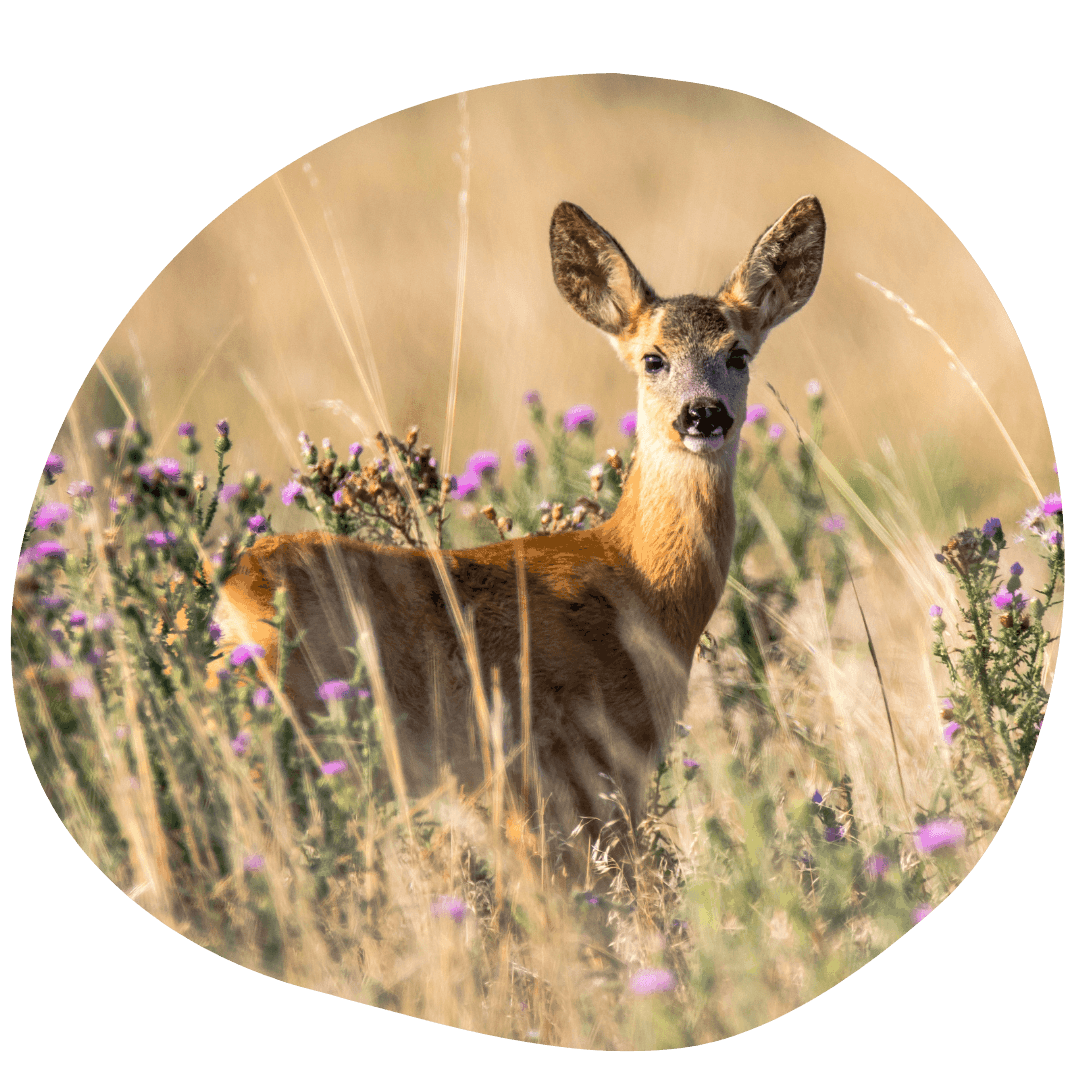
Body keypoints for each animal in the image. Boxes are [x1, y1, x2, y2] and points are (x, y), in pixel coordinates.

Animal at [215, 195, 825, 876]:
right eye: (653, 358)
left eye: (738, 353)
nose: (703, 414)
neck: (639, 583)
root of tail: (230, 595)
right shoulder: (577, 759)